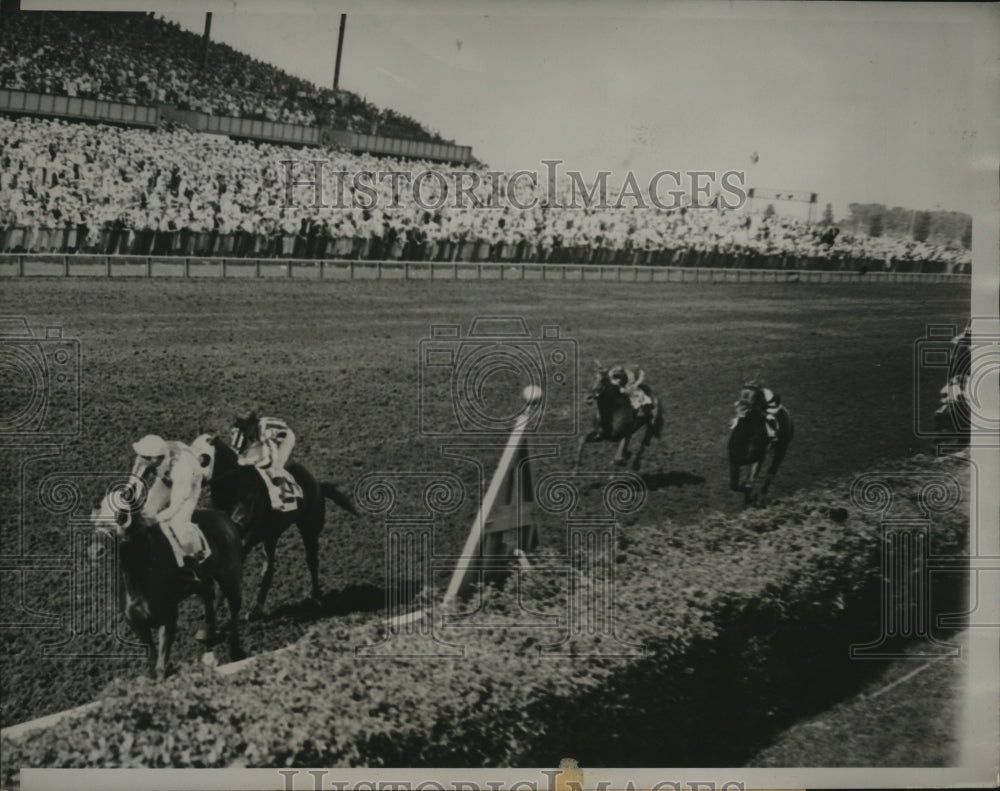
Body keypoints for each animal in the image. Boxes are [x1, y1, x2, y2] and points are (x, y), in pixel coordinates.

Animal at [91, 482, 247, 680]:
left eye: (121, 516)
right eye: (96, 519)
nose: (96, 550)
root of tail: (227, 519)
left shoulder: (168, 618)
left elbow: (160, 666)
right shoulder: (137, 624)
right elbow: (151, 660)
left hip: (230, 577)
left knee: (233, 608)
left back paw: (235, 650)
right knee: (208, 593)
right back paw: (208, 631)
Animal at [191, 434, 360, 620]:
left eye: (203, 457)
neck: (236, 491)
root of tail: (317, 483)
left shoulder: (245, 540)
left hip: (309, 529)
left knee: (312, 561)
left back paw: (316, 598)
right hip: (271, 536)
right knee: (269, 569)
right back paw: (257, 609)